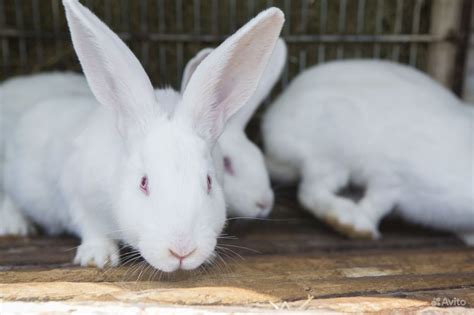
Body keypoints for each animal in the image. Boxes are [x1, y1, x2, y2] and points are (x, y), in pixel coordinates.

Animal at [0, 0, 286, 272]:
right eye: (143, 183)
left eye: (209, 182)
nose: (182, 250)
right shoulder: (79, 194)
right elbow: (91, 227)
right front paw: (98, 257)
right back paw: (14, 225)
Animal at [262, 59, 474, 247]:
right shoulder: (391, 173)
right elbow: (379, 201)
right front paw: (358, 226)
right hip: (331, 151)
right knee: (310, 192)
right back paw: (344, 215)